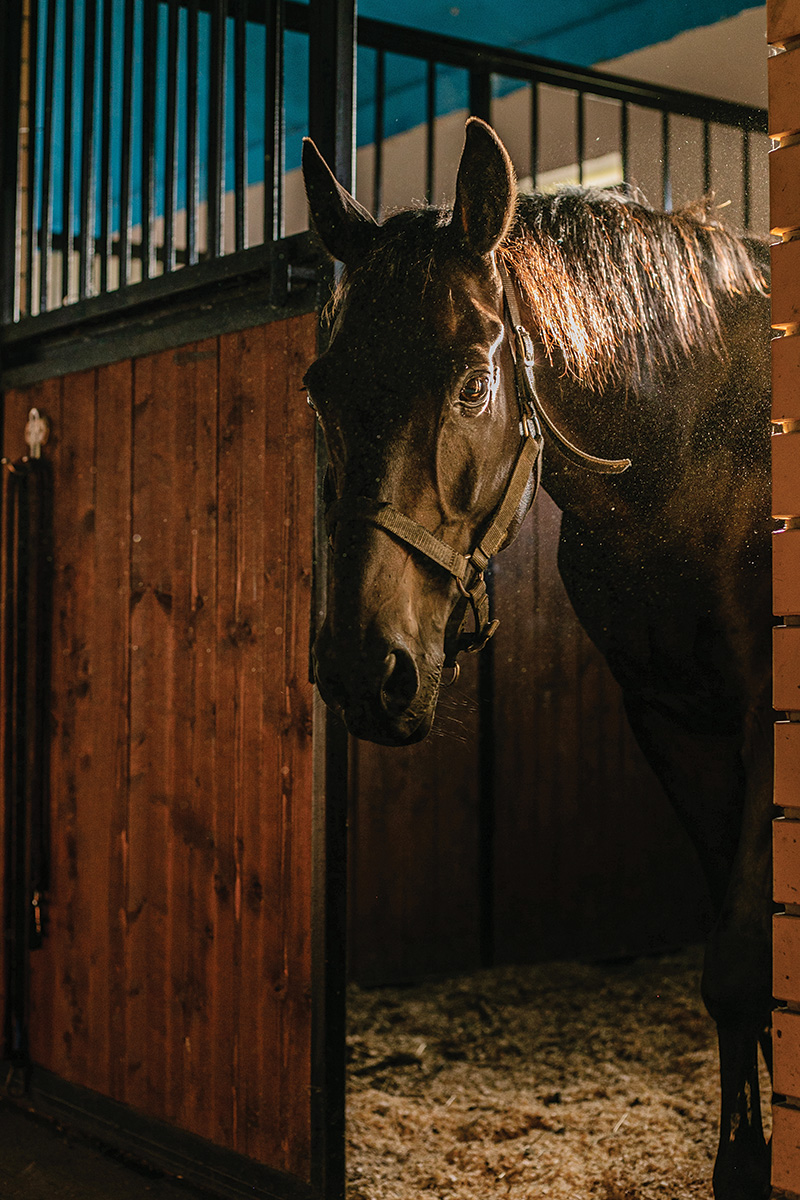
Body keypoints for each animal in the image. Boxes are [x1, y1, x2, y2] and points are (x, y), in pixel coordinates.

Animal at [302, 114, 777, 1200]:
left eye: (475, 379)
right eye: (318, 387)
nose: (363, 672)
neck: (700, 447)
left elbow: (742, 955)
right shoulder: (674, 720)